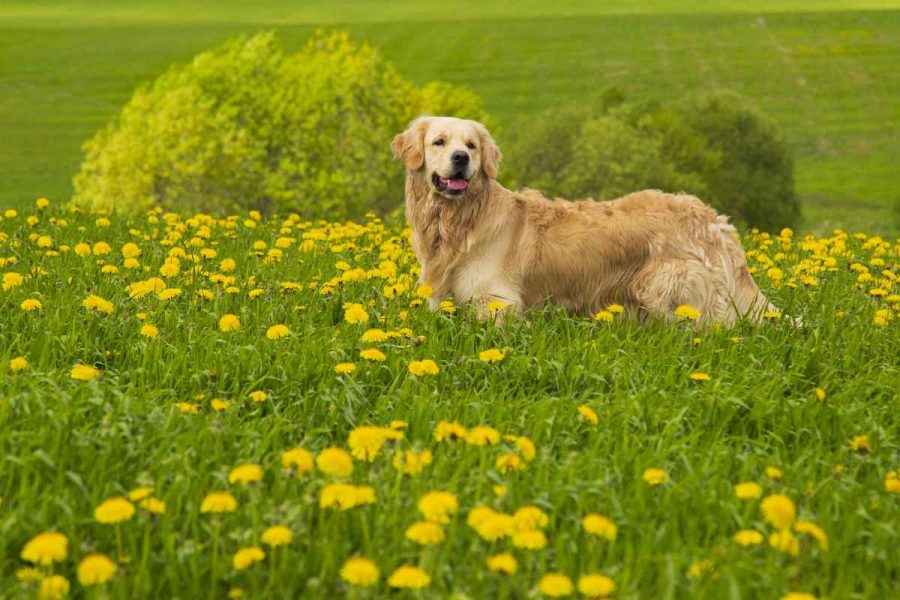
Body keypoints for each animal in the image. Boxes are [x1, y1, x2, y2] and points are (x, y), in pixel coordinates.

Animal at [390, 115, 776, 326]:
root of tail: (716, 222)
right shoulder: (438, 298)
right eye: (439, 142)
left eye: (471, 146)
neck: (457, 223)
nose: (461, 158)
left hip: (661, 285)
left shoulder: (497, 300)